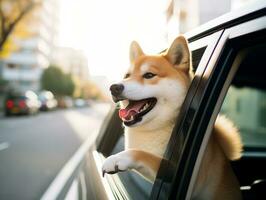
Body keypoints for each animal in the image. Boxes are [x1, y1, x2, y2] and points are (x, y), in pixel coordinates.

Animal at [102, 35, 243, 199]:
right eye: (126, 76)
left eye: (149, 75)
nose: (114, 87)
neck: (157, 128)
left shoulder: (188, 175)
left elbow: (142, 154)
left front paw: (118, 158)